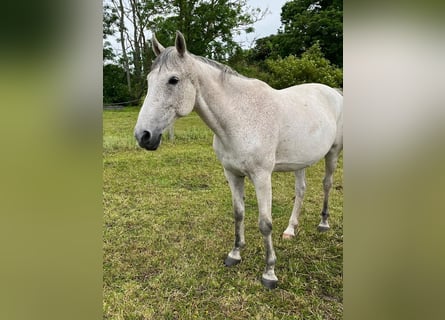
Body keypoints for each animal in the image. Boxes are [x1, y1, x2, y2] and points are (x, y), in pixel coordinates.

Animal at [134, 31, 342, 288]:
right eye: (149, 80)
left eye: (173, 80)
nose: (143, 136)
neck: (240, 117)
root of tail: (334, 92)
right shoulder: (232, 174)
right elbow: (239, 213)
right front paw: (235, 254)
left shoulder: (262, 177)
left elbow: (265, 223)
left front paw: (269, 272)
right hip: (300, 161)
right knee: (301, 190)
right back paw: (290, 230)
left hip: (333, 153)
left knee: (327, 184)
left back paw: (323, 224)